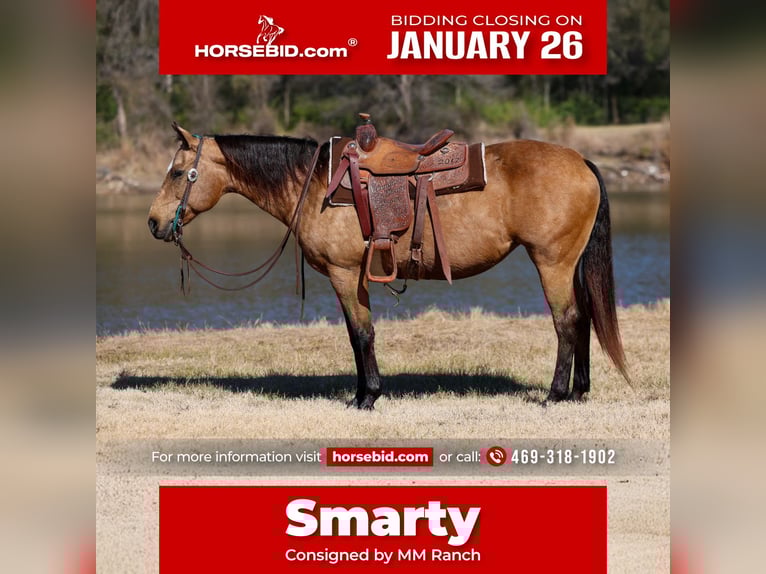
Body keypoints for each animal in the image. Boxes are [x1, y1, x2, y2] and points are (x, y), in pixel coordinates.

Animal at [147, 122, 630, 409]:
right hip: (569, 263)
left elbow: (361, 333)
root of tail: (581, 161)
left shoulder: (344, 273)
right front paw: (363, 392)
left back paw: (556, 394)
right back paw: (579, 392)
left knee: (567, 321)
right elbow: (357, 334)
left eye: (178, 172)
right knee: (584, 318)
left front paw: (367, 398)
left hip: (552, 261)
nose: (153, 222)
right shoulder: (353, 277)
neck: (316, 185)